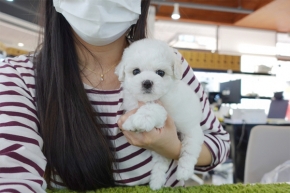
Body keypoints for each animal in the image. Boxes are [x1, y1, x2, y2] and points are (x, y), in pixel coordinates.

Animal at [115, 38, 204, 189]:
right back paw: (156, 181)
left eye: (160, 73)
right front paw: (131, 121)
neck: (147, 100)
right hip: (160, 148)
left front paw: (139, 120)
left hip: (192, 132)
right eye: (136, 71)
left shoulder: (166, 110)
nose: (147, 83)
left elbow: (154, 109)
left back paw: (184, 171)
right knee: (161, 162)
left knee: (189, 151)